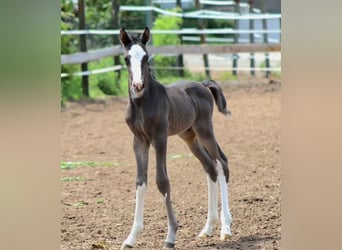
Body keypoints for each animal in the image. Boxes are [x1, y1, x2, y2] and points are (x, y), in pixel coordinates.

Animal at [119, 26, 232, 249]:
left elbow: (162, 180)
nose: (138, 85)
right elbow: (140, 181)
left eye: (145, 57)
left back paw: (225, 228)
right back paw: (207, 228)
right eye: (127, 58)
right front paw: (131, 238)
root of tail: (202, 84)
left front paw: (170, 236)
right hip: (189, 136)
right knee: (210, 167)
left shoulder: (159, 137)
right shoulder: (139, 140)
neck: (142, 103)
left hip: (205, 130)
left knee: (221, 163)